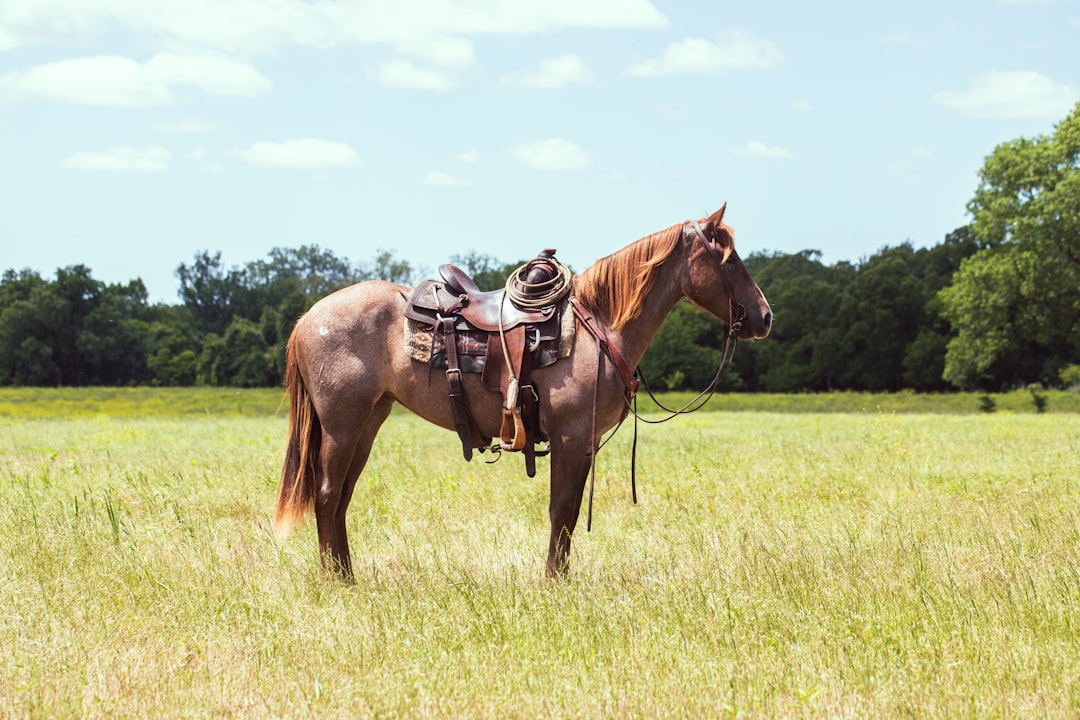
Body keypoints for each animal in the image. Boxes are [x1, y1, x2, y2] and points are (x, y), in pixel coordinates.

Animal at [274, 204, 773, 578]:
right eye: (729, 260)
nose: (764, 316)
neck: (600, 325)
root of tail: (308, 317)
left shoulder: (583, 442)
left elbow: (567, 513)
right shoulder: (571, 437)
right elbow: (562, 511)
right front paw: (555, 583)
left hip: (368, 422)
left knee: (340, 498)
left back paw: (347, 575)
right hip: (341, 425)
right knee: (327, 494)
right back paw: (337, 581)